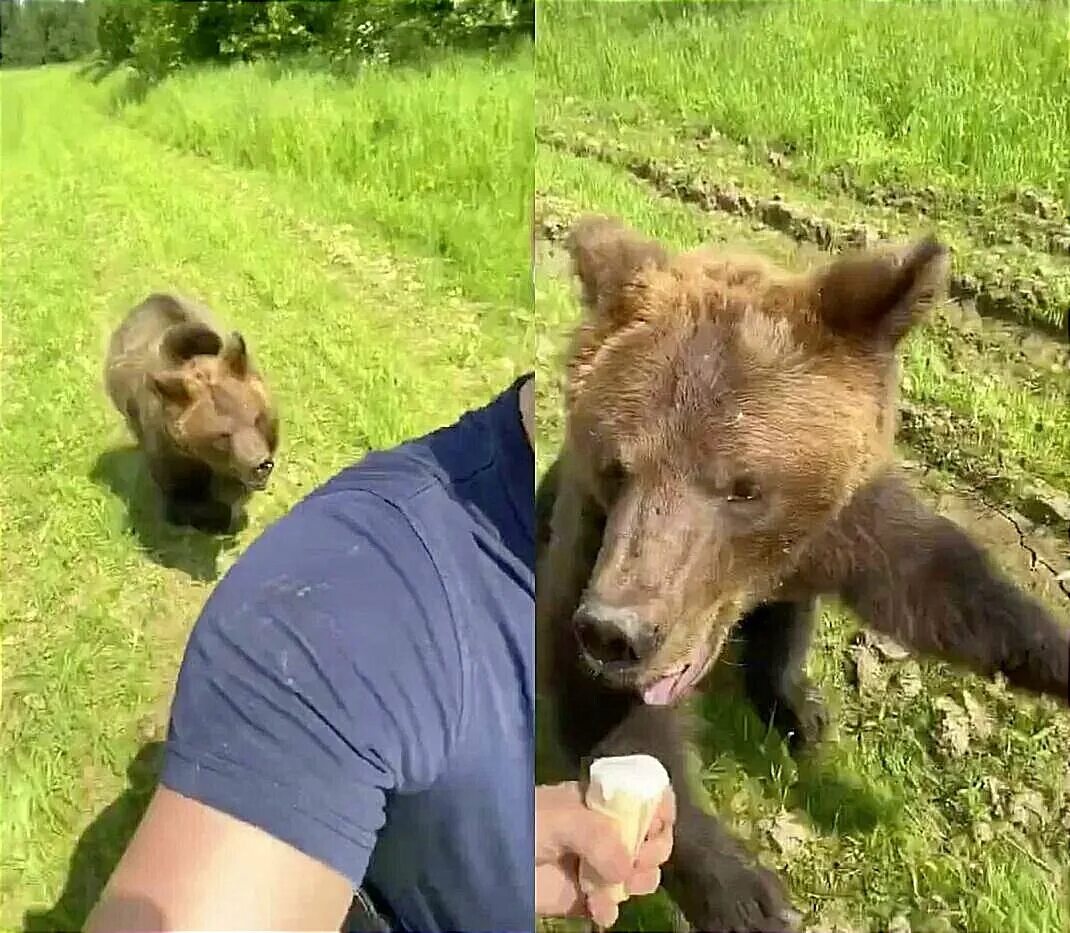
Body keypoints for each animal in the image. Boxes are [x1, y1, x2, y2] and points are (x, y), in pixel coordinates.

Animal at [103, 295, 278, 534]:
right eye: (222, 435)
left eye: (257, 418)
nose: (260, 465)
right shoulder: (170, 449)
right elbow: (183, 500)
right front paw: (222, 517)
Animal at [539, 212, 1070, 933]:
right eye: (616, 467)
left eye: (744, 486)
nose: (617, 631)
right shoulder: (591, 546)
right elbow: (609, 717)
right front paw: (748, 895)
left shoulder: (849, 522)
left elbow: (943, 586)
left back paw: (798, 706)